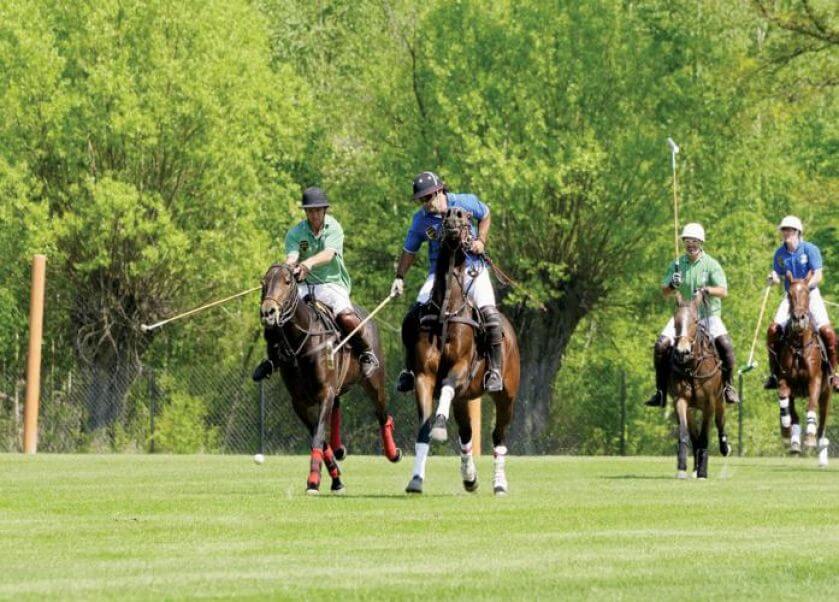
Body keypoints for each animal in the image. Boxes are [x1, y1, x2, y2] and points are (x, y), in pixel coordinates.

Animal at [260, 264, 404, 494]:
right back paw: (339, 450)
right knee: (338, 408)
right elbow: (320, 438)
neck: (302, 342)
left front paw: (313, 481)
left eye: (287, 281)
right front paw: (335, 479)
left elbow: (318, 436)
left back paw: (392, 453)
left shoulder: (324, 392)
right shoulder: (299, 402)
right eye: (263, 282)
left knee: (383, 414)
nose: (268, 312)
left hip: (374, 381)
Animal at [406, 206, 520, 492]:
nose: (453, 218)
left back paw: (499, 483)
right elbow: (423, 427)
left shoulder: (460, 368)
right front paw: (416, 479)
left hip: (507, 395)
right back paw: (470, 477)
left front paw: (439, 426)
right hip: (465, 397)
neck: (447, 310)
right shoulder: (424, 375)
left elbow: (446, 386)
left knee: (499, 436)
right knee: (467, 434)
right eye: (446, 216)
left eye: (467, 216)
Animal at [668, 290, 732, 478]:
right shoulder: (680, 400)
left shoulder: (709, 403)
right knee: (694, 435)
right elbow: (684, 433)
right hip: (692, 408)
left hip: (720, 401)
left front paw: (703, 471)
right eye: (676, 321)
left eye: (695, 321)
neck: (692, 367)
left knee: (720, 424)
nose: (682, 352)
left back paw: (724, 448)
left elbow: (704, 436)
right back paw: (695, 467)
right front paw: (682, 467)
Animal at [776, 272, 832, 464]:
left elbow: (811, 405)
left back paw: (819, 444)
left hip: (827, 392)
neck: (799, 343)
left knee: (822, 419)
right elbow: (784, 400)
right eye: (789, 294)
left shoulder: (815, 380)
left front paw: (809, 438)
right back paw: (794, 442)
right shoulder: (784, 379)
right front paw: (786, 431)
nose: (799, 319)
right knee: (794, 414)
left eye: (807, 292)